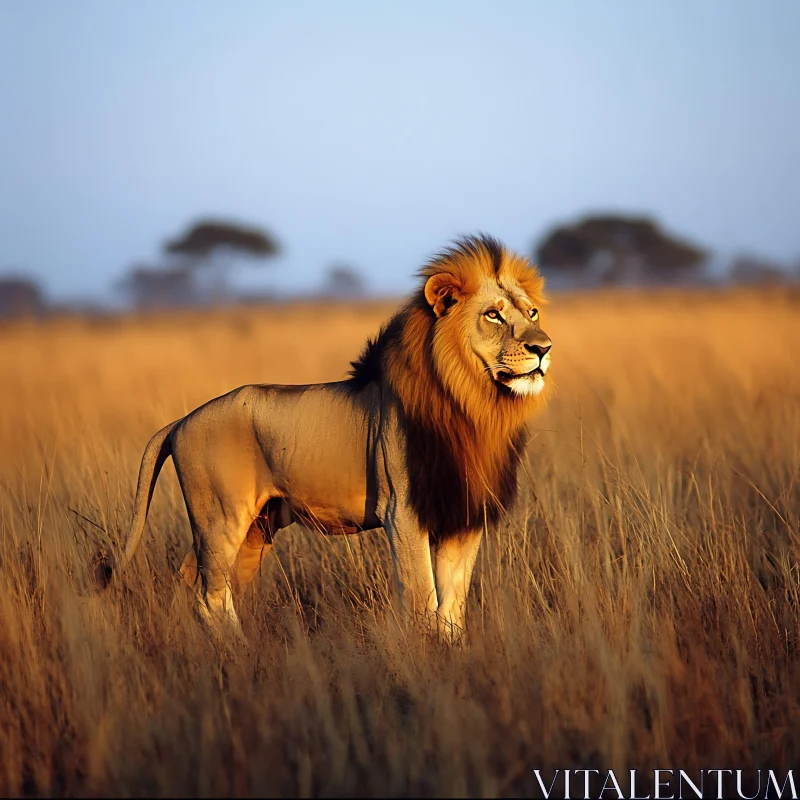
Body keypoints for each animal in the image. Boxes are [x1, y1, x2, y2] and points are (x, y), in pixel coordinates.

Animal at [102, 235, 552, 642]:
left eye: (532, 312)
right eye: (493, 315)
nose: (544, 347)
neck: (474, 405)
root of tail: (182, 420)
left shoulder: (463, 514)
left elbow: (452, 607)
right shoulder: (403, 512)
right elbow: (423, 601)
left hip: (254, 528)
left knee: (193, 584)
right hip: (221, 519)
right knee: (209, 597)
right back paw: (241, 655)